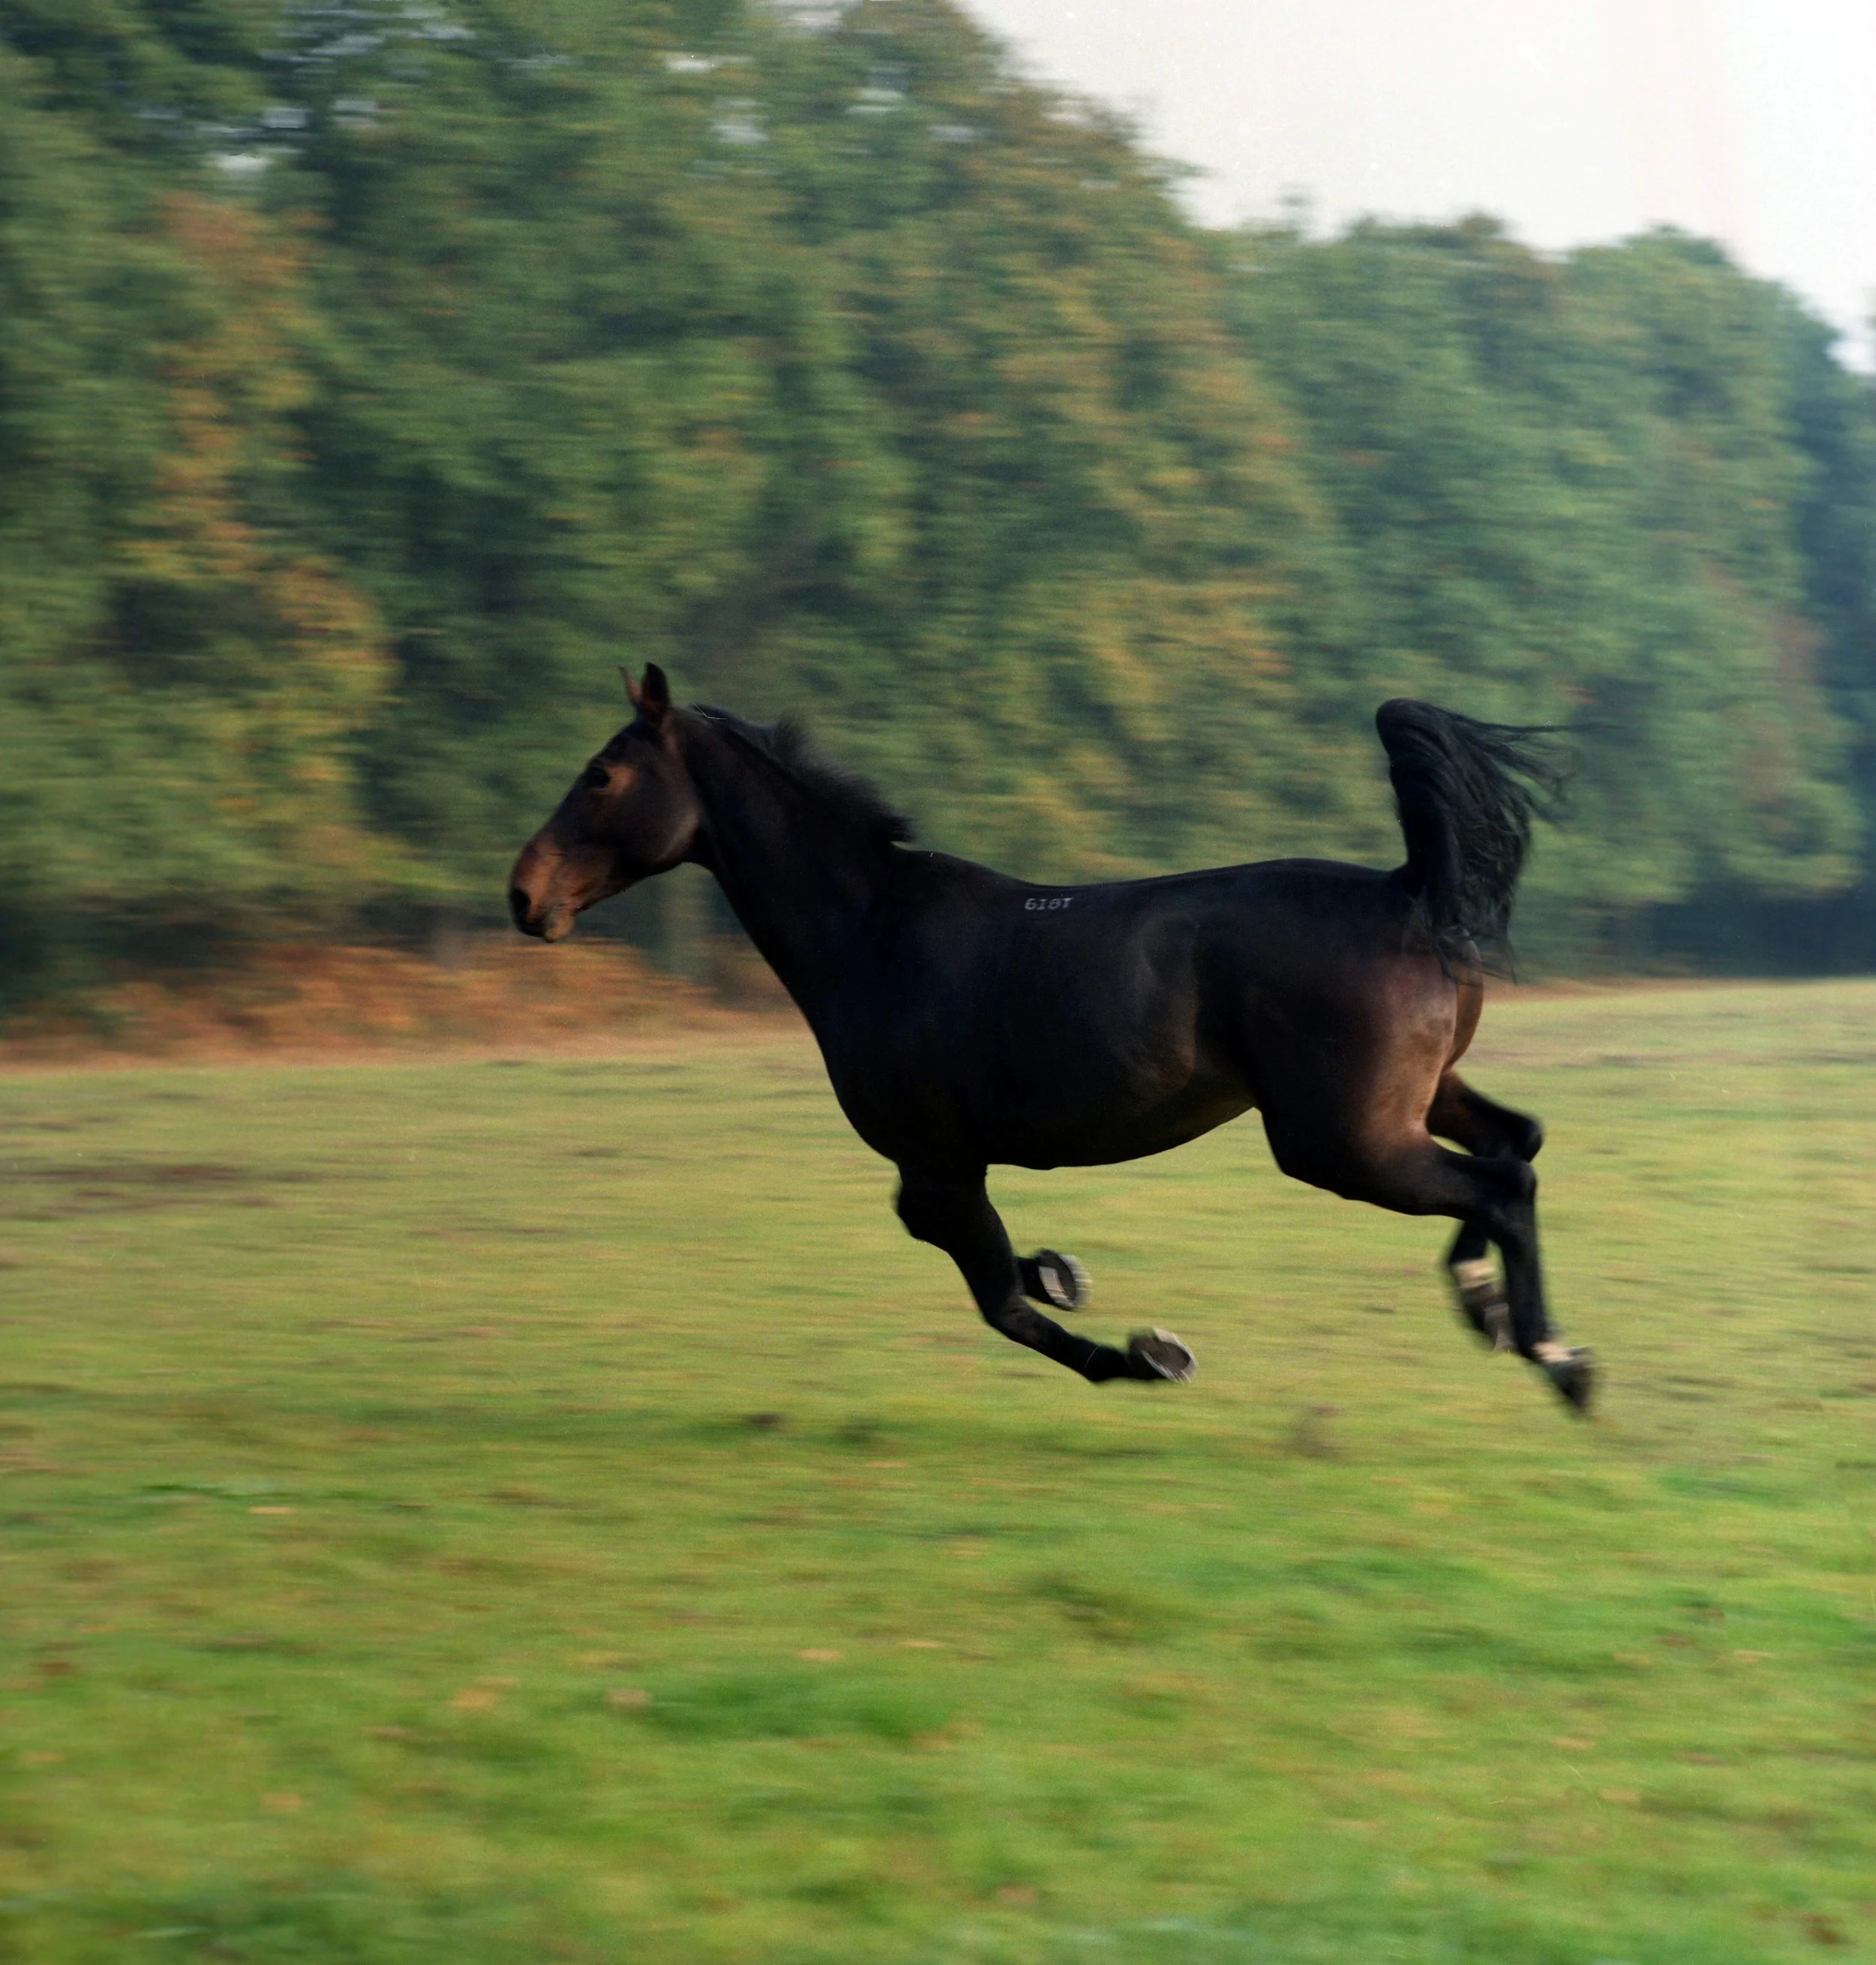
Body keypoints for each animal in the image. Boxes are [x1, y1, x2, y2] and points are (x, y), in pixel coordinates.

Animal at [509, 665, 1592, 1412]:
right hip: (1415, 1100)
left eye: (602, 775)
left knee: (1502, 1183)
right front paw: (1069, 1273)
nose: (524, 894)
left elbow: (996, 1294)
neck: (870, 932)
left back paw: (1559, 1359)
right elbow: (978, 1260)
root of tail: (1407, 890)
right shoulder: (940, 1168)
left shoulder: (938, 1160)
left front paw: (1149, 1352)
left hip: (1341, 1140)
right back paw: (1493, 1311)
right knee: (1517, 1146)